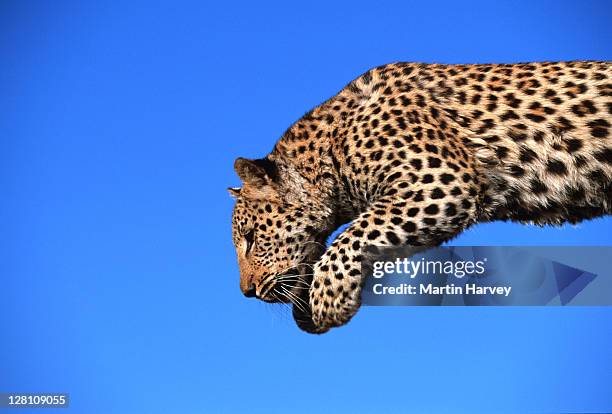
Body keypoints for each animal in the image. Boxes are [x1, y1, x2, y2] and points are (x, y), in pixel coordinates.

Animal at [230, 60, 612, 334]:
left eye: (251, 238)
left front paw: (327, 298)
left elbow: (353, 234)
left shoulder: (441, 181)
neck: (331, 149)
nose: (247, 292)